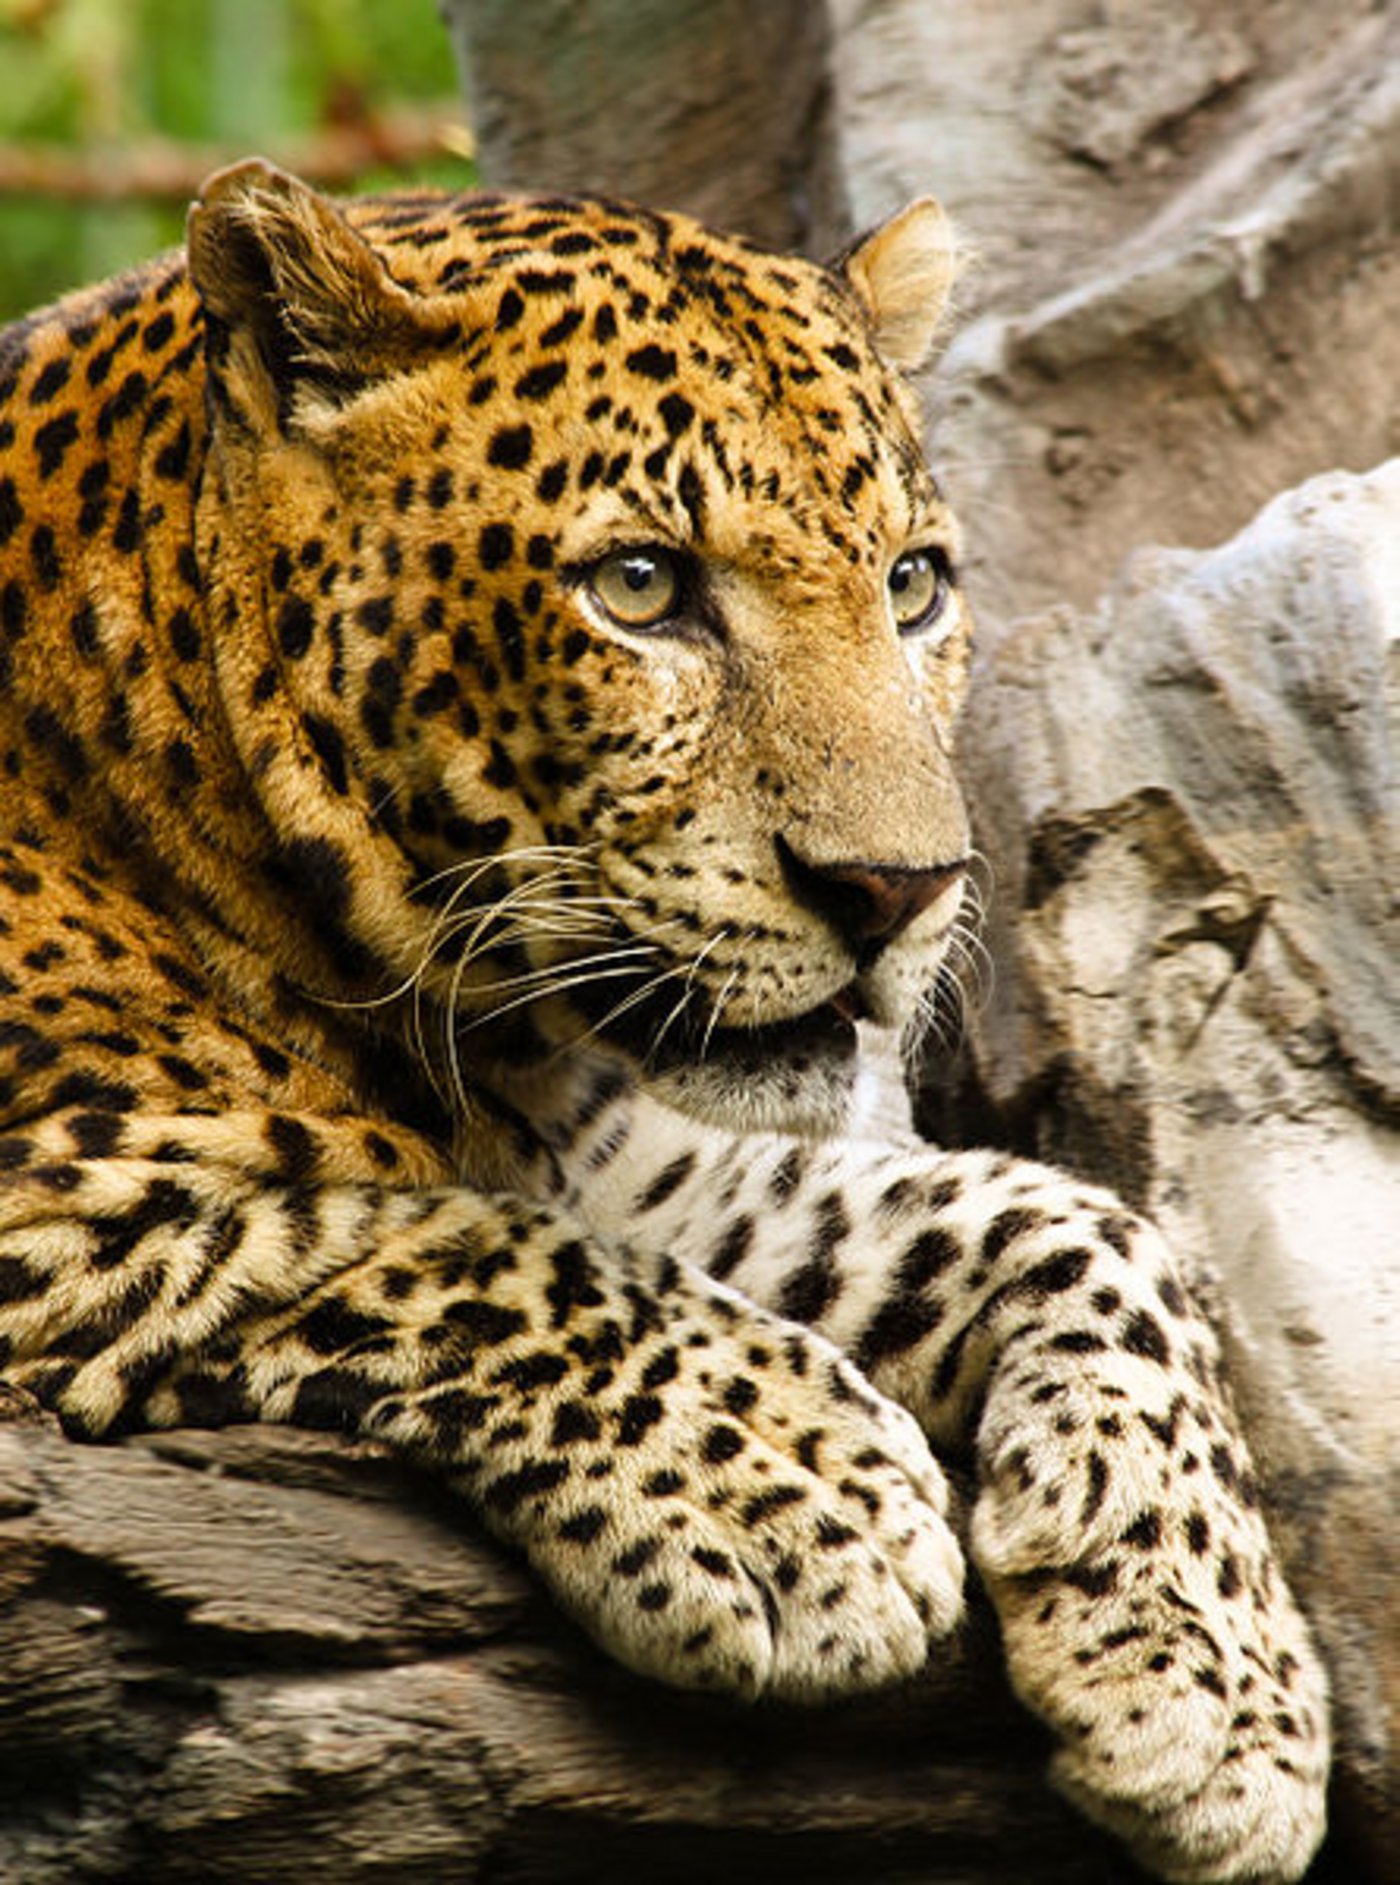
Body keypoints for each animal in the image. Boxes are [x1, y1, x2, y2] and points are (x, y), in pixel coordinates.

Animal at [0, 159, 1328, 1882]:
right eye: (640, 587)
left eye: (912, 586)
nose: (901, 890)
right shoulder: (66, 1195)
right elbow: (424, 1236)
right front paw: (809, 1497)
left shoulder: (639, 1161)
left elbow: (1067, 1218)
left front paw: (1221, 1683)